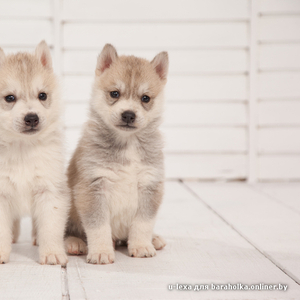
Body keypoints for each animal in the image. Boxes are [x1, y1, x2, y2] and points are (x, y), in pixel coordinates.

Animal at [0, 40, 69, 264]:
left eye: (42, 96)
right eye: (9, 98)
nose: (32, 118)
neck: (23, 147)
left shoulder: (49, 191)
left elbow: (50, 227)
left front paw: (52, 253)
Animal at [65, 43, 168, 264]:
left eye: (145, 98)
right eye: (114, 93)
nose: (128, 114)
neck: (127, 143)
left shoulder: (149, 186)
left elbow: (143, 224)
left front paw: (142, 245)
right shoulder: (92, 187)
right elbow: (98, 227)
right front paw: (101, 251)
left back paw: (154, 238)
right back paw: (74, 242)